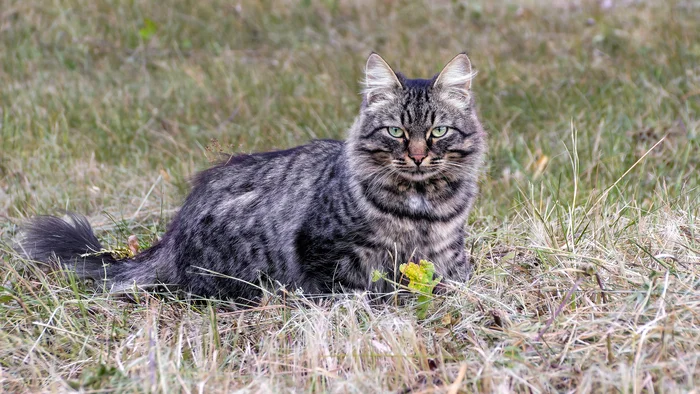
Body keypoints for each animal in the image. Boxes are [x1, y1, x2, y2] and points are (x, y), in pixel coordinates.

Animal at [16, 53, 486, 302]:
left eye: (437, 132)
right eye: (396, 132)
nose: (418, 156)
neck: (420, 206)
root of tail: (172, 236)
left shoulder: (449, 257)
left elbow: (457, 280)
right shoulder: (328, 257)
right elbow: (361, 290)